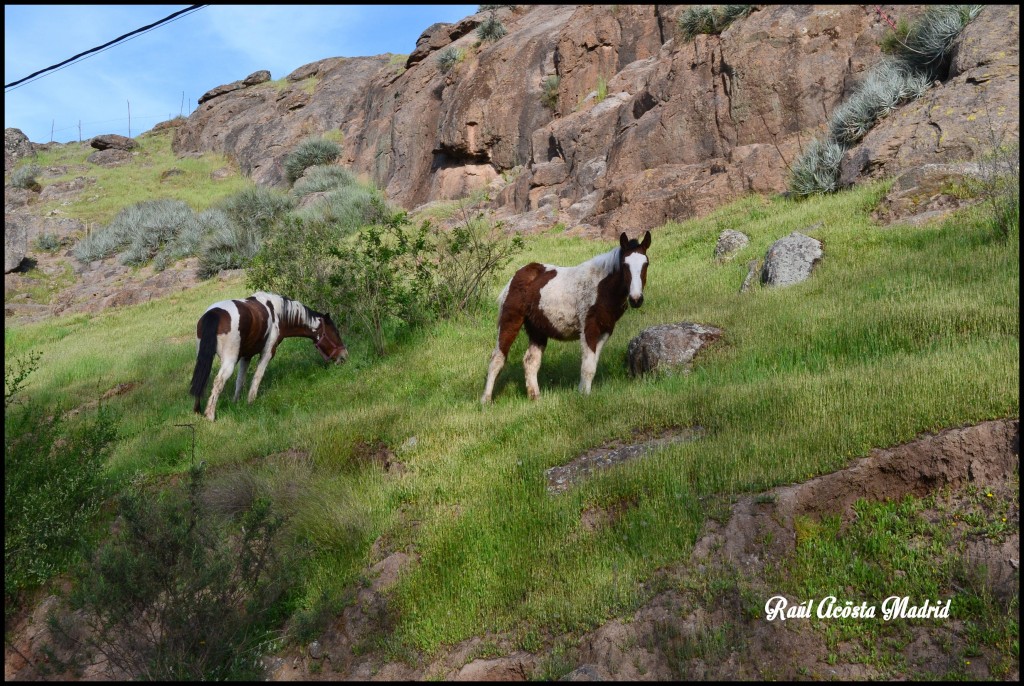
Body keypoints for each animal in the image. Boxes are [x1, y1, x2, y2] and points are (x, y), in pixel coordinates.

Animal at [191, 288, 348, 419]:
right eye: (336, 332)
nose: (344, 355)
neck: (278, 313)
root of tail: (214, 313)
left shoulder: (246, 356)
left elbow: (240, 380)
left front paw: (236, 403)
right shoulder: (267, 353)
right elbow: (257, 377)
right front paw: (250, 402)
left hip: (204, 358)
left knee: (202, 379)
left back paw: (197, 411)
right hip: (229, 361)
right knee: (218, 381)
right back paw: (210, 415)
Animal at [483, 231, 651, 403]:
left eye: (646, 264)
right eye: (625, 265)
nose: (636, 299)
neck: (602, 289)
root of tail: (516, 276)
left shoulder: (605, 330)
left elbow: (592, 364)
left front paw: (582, 392)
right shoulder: (589, 328)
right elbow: (588, 367)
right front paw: (584, 397)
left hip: (537, 329)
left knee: (530, 361)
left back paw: (536, 398)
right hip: (510, 320)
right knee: (497, 358)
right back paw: (486, 400)